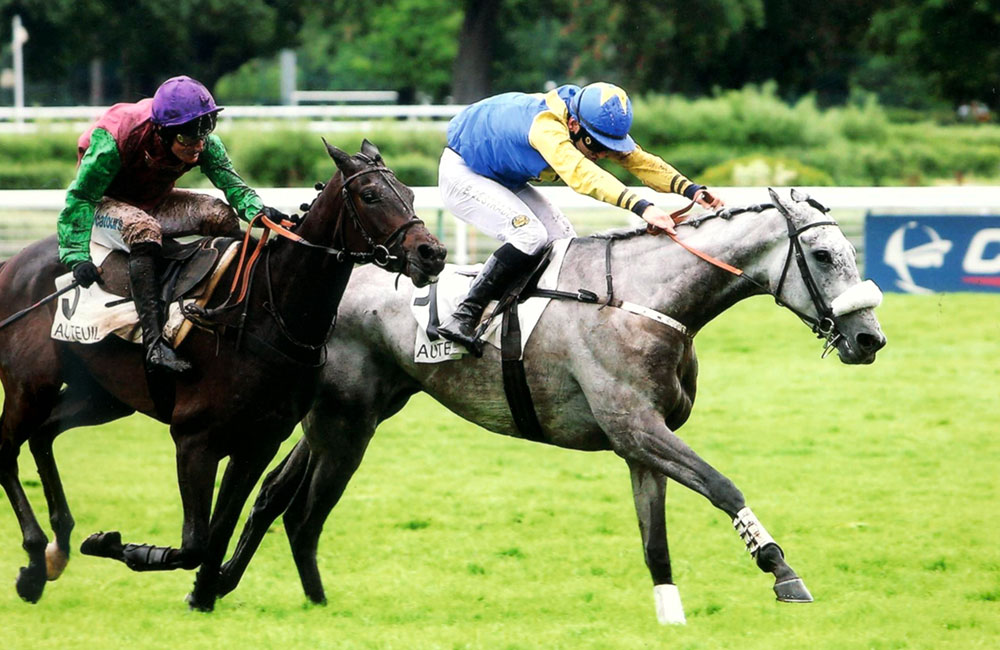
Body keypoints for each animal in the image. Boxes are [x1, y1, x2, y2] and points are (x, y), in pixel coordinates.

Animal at [0, 140, 446, 608]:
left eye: (410, 194)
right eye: (371, 195)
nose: (432, 253)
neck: (266, 313)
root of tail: (12, 265)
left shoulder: (258, 444)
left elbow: (219, 532)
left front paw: (203, 594)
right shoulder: (194, 441)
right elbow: (195, 542)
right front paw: (114, 545)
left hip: (102, 397)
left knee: (43, 434)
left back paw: (56, 549)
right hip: (29, 386)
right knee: (6, 452)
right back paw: (36, 559)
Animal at [223, 186, 888, 616]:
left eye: (850, 253)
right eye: (823, 255)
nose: (869, 339)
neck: (647, 298)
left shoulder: (642, 442)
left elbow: (655, 540)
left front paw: (670, 615)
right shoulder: (635, 426)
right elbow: (724, 486)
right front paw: (782, 571)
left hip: (356, 412)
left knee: (275, 491)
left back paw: (224, 584)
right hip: (347, 420)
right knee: (301, 509)